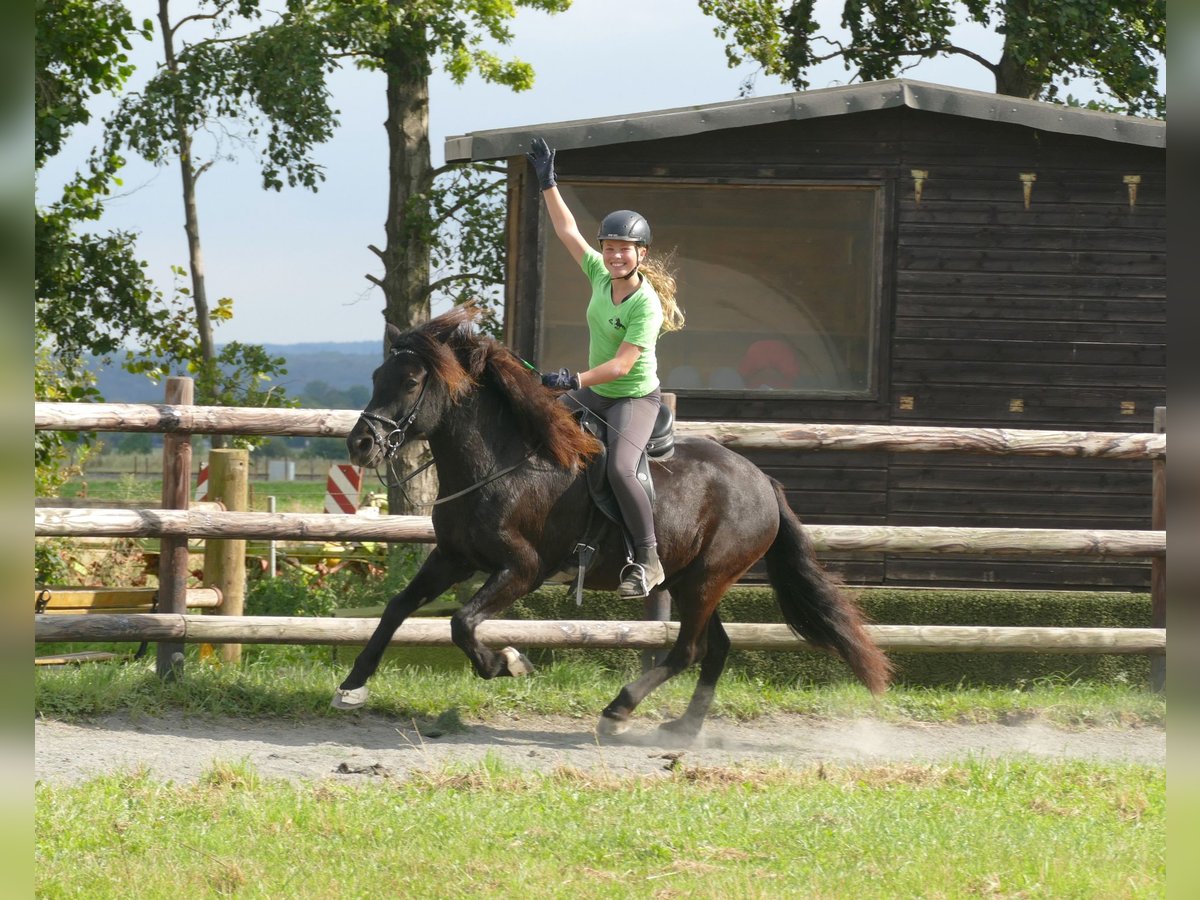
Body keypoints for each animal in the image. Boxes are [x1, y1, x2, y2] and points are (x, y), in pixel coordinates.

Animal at [331, 304, 892, 739]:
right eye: (377, 377)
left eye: (410, 381)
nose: (360, 444)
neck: (498, 463)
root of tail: (763, 482)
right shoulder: (453, 558)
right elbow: (398, 607)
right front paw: (353, 686)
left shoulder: (522, 569)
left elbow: (461, 623)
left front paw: (506, 662)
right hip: (693, 580)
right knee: (715, 648)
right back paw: (684, 728)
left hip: (708, 579)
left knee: (688, 649)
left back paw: (618, 711)